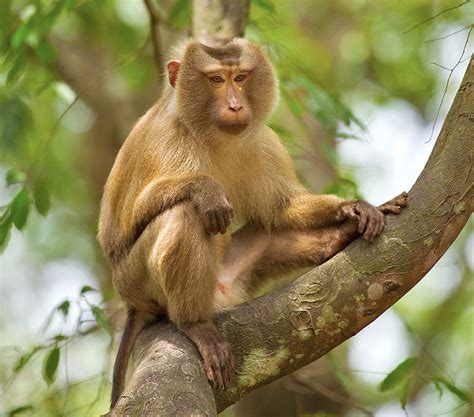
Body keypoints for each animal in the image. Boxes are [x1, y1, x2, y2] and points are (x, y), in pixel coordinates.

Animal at [99, 37, 408, 408]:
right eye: (217, 80)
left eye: (241, 77)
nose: (235, 105)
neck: (210, 133)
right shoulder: (167, 139)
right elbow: (134, 213)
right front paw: (205, 189)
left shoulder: (262, 141)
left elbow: (280, 208)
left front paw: (353, 209)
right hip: (135, 280)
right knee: (185, 214)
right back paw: (193, 323)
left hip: (231, 277)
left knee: (265, 229)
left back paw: (334, 240)